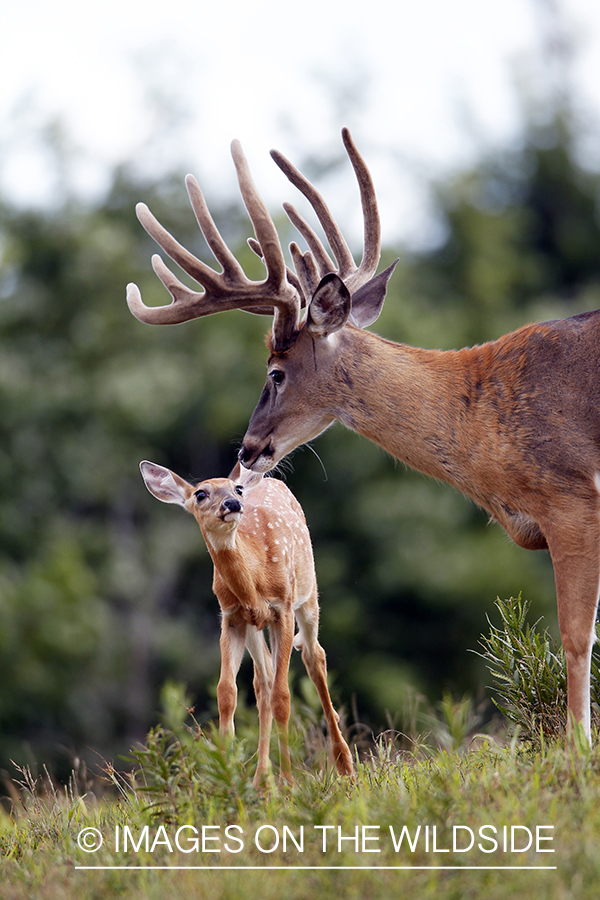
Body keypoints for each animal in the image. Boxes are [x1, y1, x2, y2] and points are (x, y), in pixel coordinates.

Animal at [127, 128, 600, 744]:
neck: (483, 416)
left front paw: (577, 749)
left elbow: (575, 635)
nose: (247, 451)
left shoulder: (570, 495)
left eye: (275, 372)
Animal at [139, 459, 353, 786]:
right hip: (255, 626)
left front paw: (288, 781)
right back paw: (261, 778)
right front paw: (228, 775)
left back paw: (344, 764)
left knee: (314, 656)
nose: (233, 503)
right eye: (200, 494)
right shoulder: (231, 618)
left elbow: (283, 697)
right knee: (262, 681)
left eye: (236, 489)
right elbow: (227, 693)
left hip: (308, 593)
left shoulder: (283, 609)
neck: (256, 579)